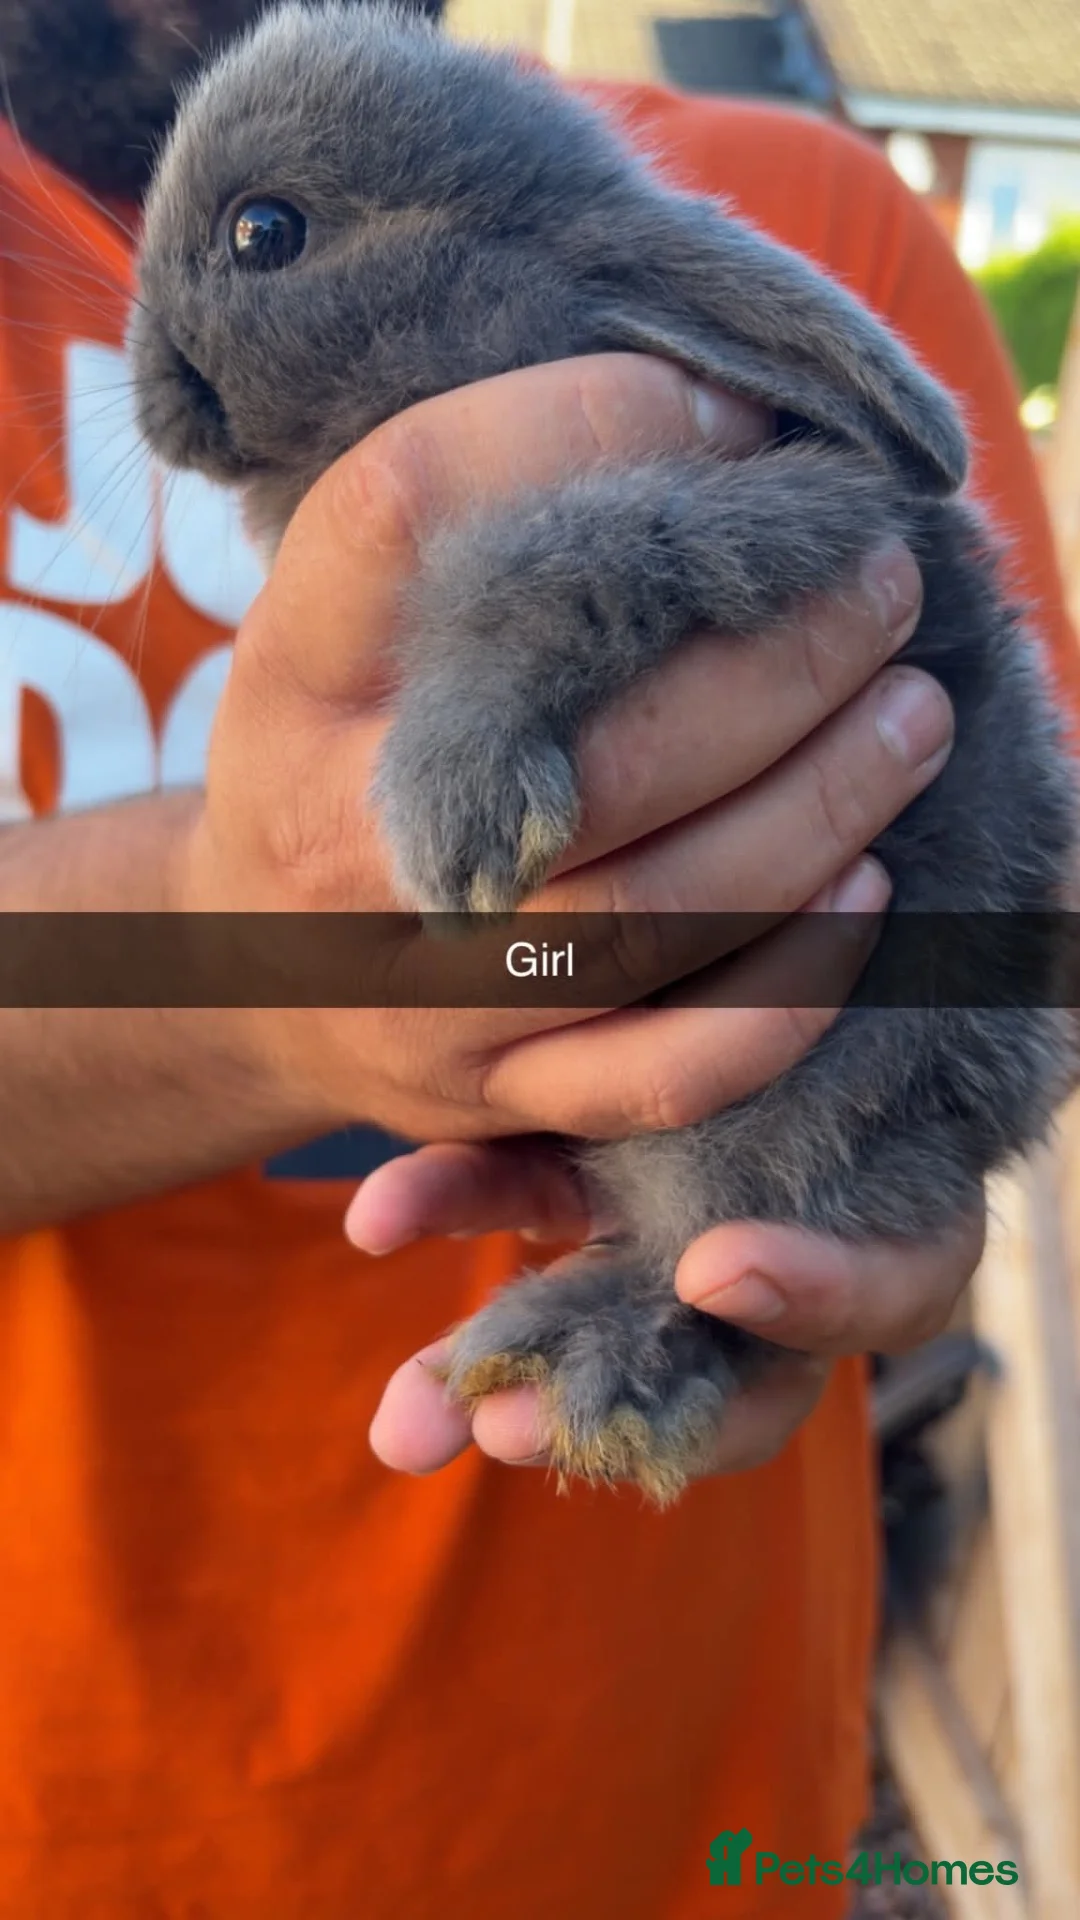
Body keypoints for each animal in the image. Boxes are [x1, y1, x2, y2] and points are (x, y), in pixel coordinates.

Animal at [129, 0, 1078, 1503]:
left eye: (261, 232)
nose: (154, 394)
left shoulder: (778, 509)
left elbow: (546, 552)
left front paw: (456, 814)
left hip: (792, 1110)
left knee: (714, 1260)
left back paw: (587, 1360)